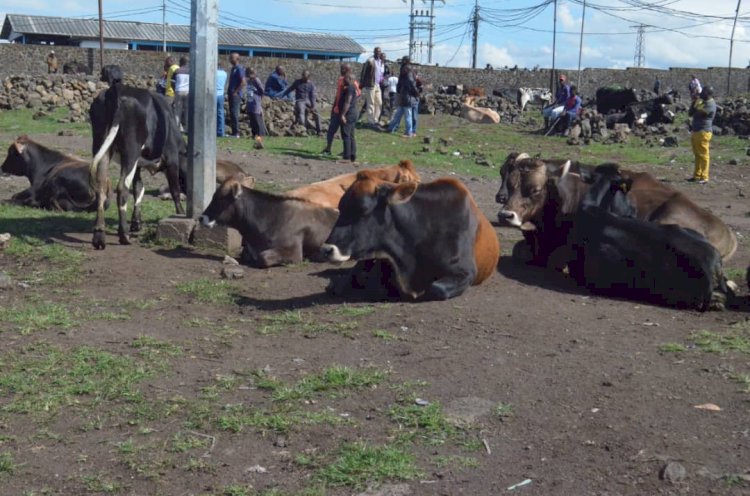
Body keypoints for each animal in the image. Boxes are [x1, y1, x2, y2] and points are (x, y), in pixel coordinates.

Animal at [88, 65, 185, 249]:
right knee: (121, 188)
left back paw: (99, 236)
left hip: (102, 146)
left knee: (102, 186)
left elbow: (139, 188)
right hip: (130, 150)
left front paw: (136, 222)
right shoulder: (172, 158)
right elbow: (175, 190)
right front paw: (181, 214)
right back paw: (124, 235)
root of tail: (117, 89)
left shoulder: (138, 165)